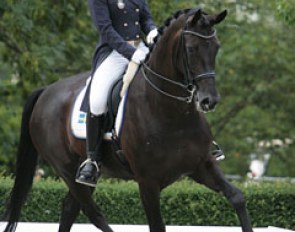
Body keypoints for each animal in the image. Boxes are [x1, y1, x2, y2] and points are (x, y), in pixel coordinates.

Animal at [2, 8, 254, 232]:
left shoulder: (202, 165)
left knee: (70, 209)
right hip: (66, 168)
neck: (171, 113)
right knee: (93, 213)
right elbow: (157, 226)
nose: (209, 101)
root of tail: (45, 91)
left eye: (216, 47)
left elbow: (237, 197)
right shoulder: (148, 182)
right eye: (191, 49)